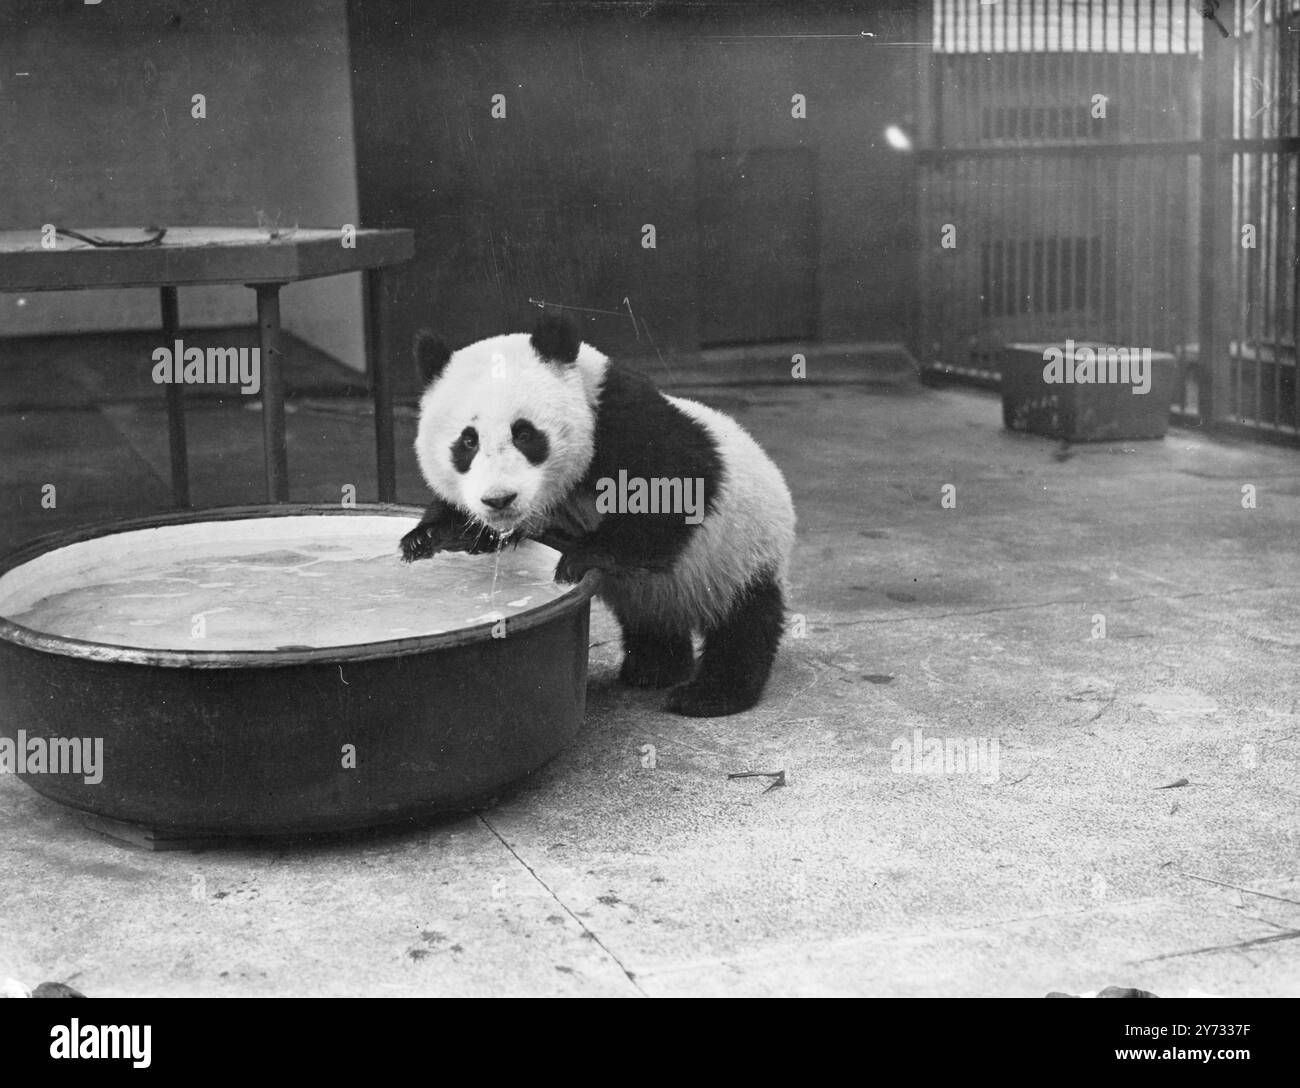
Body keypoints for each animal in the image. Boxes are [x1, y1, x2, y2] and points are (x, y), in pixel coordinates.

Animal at [400, 314, 795, 717]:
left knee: (747, 621)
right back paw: (654, 667)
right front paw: (433, 536)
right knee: (650, 620)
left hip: (741, 550)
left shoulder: (622, 419)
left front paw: (583, 556)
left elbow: (679, 486)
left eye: (525, 434)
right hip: (658, 591)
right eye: (468, 441)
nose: (499, 499)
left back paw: (710, 693)